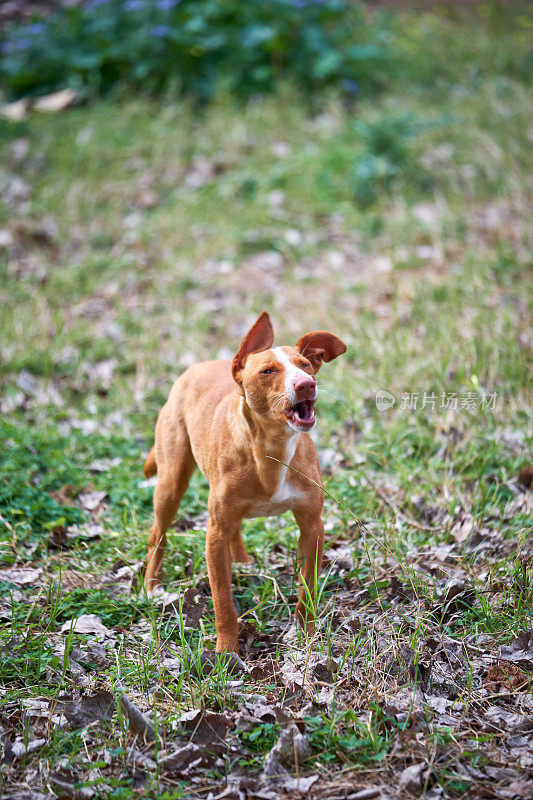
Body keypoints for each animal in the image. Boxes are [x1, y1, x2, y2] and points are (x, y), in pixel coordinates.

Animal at [143, 310, 348, 652]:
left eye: (305, 365)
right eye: (268, 371)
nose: (306, 385)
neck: (272, 450)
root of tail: (196, 367)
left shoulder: (312, 525)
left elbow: (307, 587)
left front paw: (306, 637)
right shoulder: (214, 534)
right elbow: (222, 600)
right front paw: (227, 651)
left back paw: (242, 562)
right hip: (170, 486)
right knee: (158, 534)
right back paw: (151, 585)